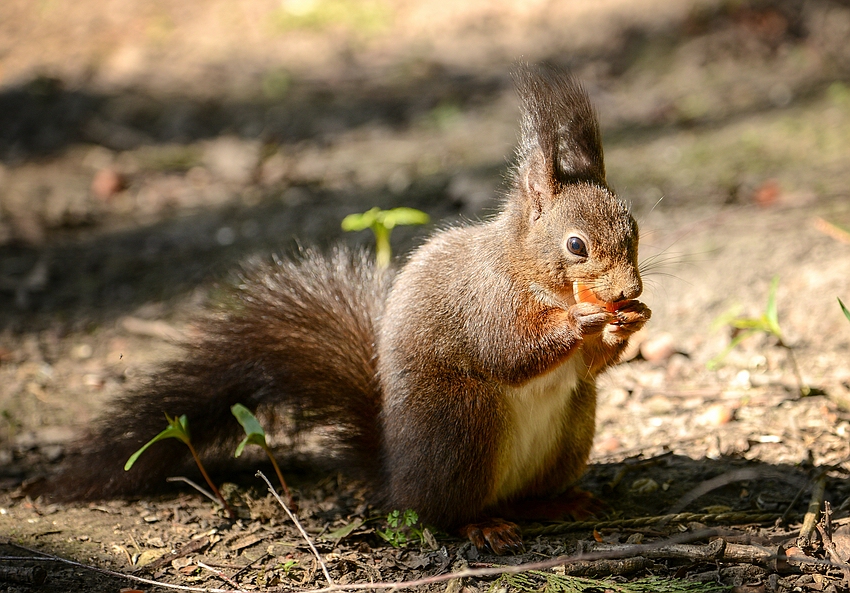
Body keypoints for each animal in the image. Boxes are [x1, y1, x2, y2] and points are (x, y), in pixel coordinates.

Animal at [38, 66, 648, 556]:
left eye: (634, 229)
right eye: (576, 246)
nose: (628, 289)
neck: (529, 270)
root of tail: (397, 479)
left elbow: (588, 366)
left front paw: (630, 322)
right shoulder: (485, 302)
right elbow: (508, 352)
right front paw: (581, 323)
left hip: (571, 428)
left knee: (527, 491)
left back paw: (559, 505)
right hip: (464, 426)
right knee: (447, 512)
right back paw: (482, 525)